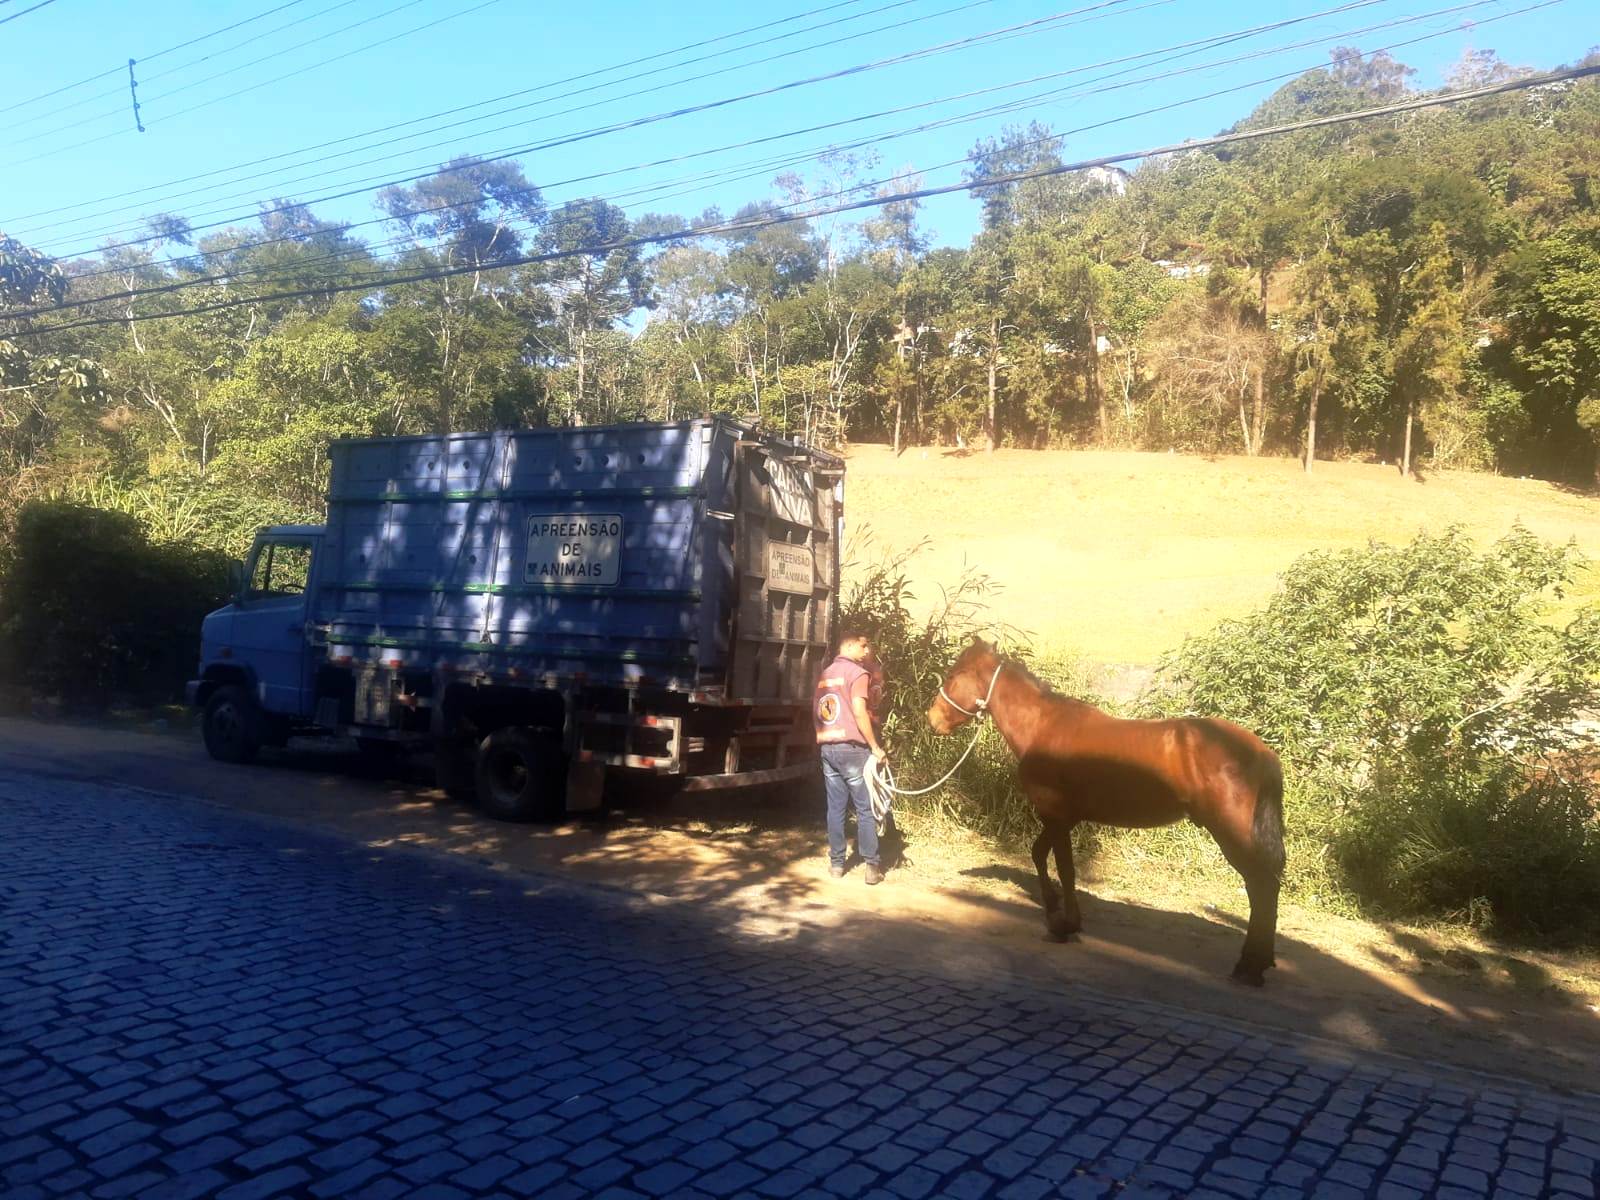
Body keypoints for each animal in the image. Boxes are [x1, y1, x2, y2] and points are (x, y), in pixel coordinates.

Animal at [928, 640, 1286, 985]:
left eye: (953, 674)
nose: (932, 719)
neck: (1044, 727)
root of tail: (1262, 753)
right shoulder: (1061, 817)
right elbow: (1039, 854)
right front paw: (1053, 907)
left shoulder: (1055, 817)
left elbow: (1066, 868)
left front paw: (1067, 925)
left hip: (1231, 834)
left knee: (1261, 887)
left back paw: (1250, 966)